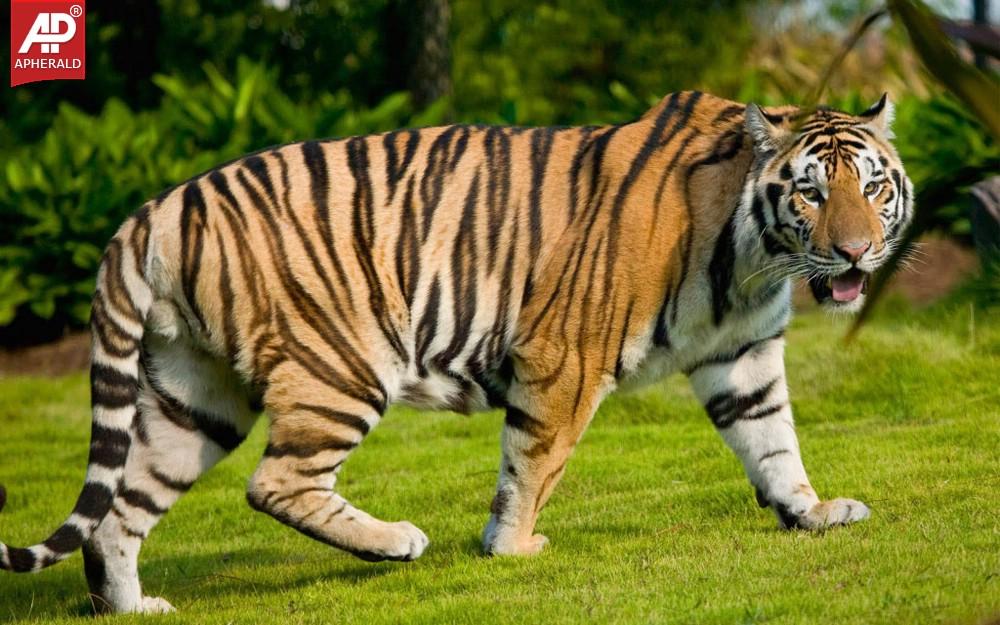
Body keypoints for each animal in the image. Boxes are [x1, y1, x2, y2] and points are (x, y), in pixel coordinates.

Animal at [0, 90, 912, 614]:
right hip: (342, 364)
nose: (858, 253)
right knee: (275, 481)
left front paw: (811, 511)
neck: (754, 259)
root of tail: (150, 209)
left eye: (871, 186)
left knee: (120, 510)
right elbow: (534, 460)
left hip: (197, 394)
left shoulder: (744, 355)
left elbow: (773, 440)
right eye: (810, 192)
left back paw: (132, 604)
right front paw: (511, 547)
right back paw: (396, 540)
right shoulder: (565, 353)